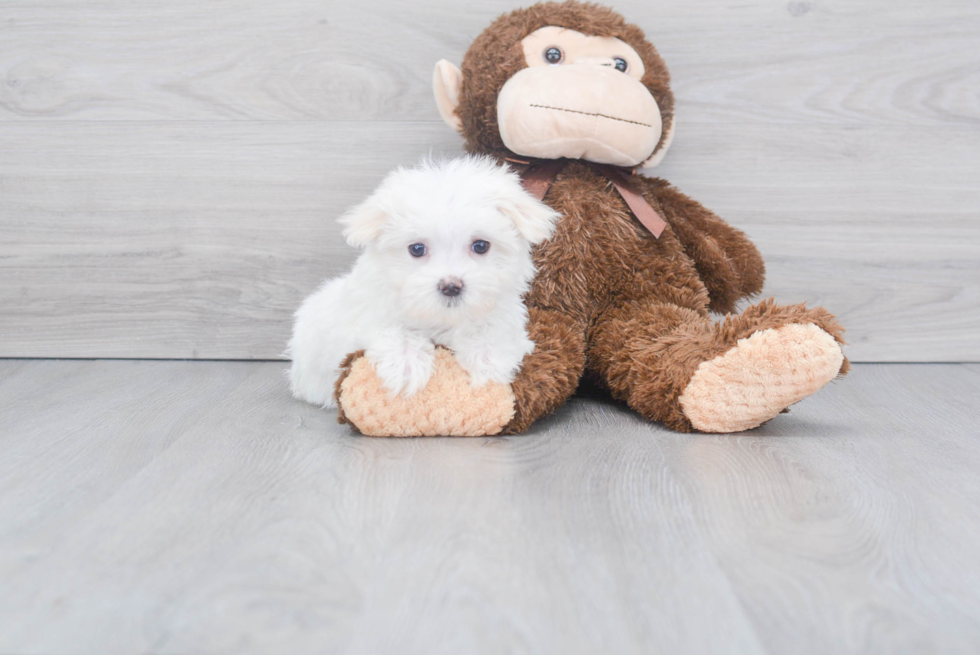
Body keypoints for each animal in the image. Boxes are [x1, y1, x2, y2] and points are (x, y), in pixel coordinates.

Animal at [288, 156, 556, 408]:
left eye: (481, 246)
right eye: (417, 249)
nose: (450, 286)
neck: (442, 318)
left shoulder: (506, 315)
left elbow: (495, 330)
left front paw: (487, 359)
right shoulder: (366, 314)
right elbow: (391, 328)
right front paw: (407, 365)